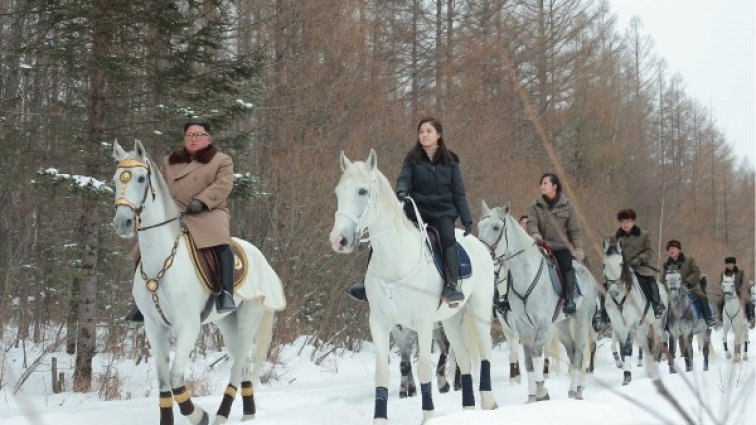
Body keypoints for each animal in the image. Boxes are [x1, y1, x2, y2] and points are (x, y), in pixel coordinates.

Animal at [112, 142, 286, 424]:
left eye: (140, 178)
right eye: (116, 179)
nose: (123, 222)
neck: (162, 263)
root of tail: (260, 256)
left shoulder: (187, 326)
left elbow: (175, 378)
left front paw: (198, 415)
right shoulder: (154, 327)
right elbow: (163, 381)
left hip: (249, 316)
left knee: (238, 366)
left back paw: (221, 415)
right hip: (227, 322)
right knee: (243, 363)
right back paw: (248, 414)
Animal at [330, 151, 496, 422]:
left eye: (363, 191)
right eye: (338, 192)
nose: (338, 240)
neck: (396, 259)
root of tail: (478, 244)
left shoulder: (423, 323)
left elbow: (425, 370)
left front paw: (428, 417)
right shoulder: (380, 324)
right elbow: (382, 373)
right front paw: (379, 419)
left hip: (479, 310)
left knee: (485, 351)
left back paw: (489, 401)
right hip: (451, 320)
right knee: (463, 358)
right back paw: (468, 409)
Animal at [478, 200, 596, 400]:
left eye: (495, 227)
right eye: (480, 226)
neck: (525, 275)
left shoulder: (541, 324)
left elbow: (536, 354)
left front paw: (542, 391)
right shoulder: (522, 326)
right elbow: (528, 360)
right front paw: (532, 396)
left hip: (582, 321)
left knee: (580, 353)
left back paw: (577, 390)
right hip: (562, 326)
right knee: (572, 352)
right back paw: (574, 389)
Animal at [600, 237, 664, 382]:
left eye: (620, 264)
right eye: (604, 265)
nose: (614, 291)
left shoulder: (631, 324)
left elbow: (628, 349)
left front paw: (627, 377)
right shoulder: (617, 325)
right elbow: (621, 349)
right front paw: (623, 369)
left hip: (658, 326)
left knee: (658, 346)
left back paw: (656, 374)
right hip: (642, 328)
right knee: (647, 348)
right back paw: (648, 374)